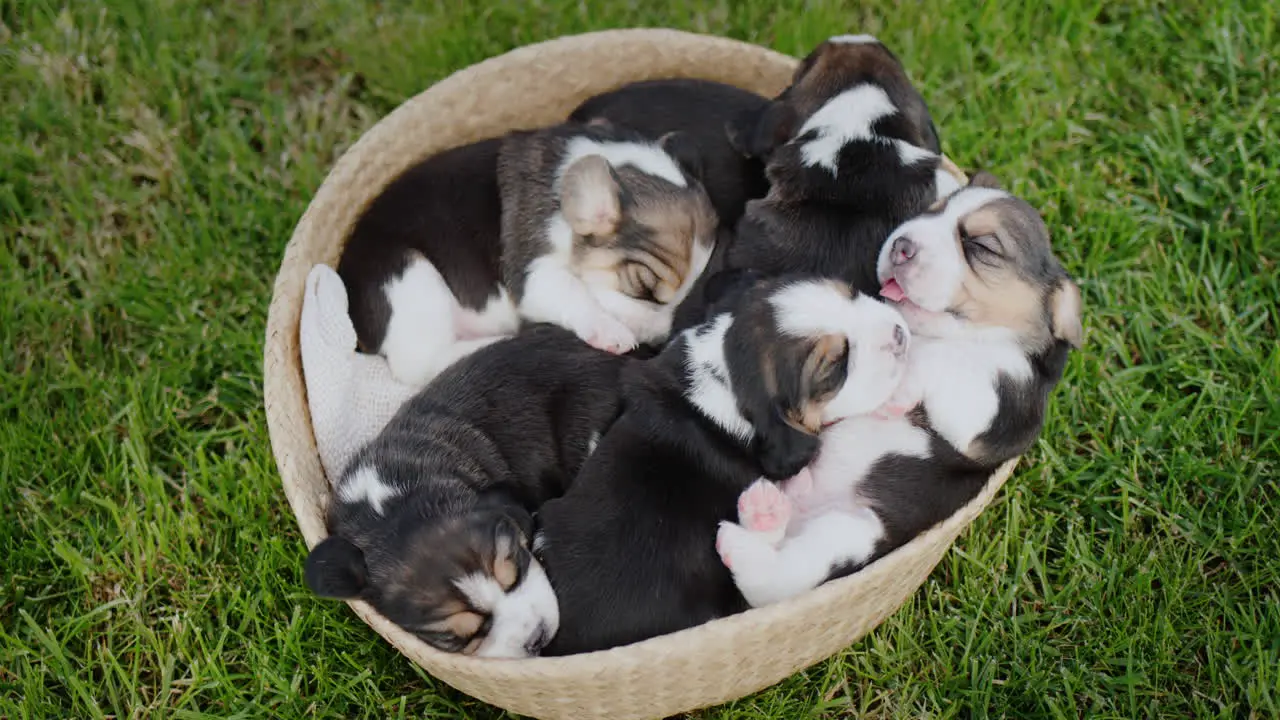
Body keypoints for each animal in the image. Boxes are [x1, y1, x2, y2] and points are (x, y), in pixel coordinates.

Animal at [716, 174, 1085, 604]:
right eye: (931, 210)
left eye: (982, 246)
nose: (900, 246)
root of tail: (799, 505)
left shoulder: (995, 417)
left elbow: (952, 361)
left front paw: (900, 389)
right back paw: (764, 510)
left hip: (855, 534)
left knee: (773, 580)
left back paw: (759, 520)